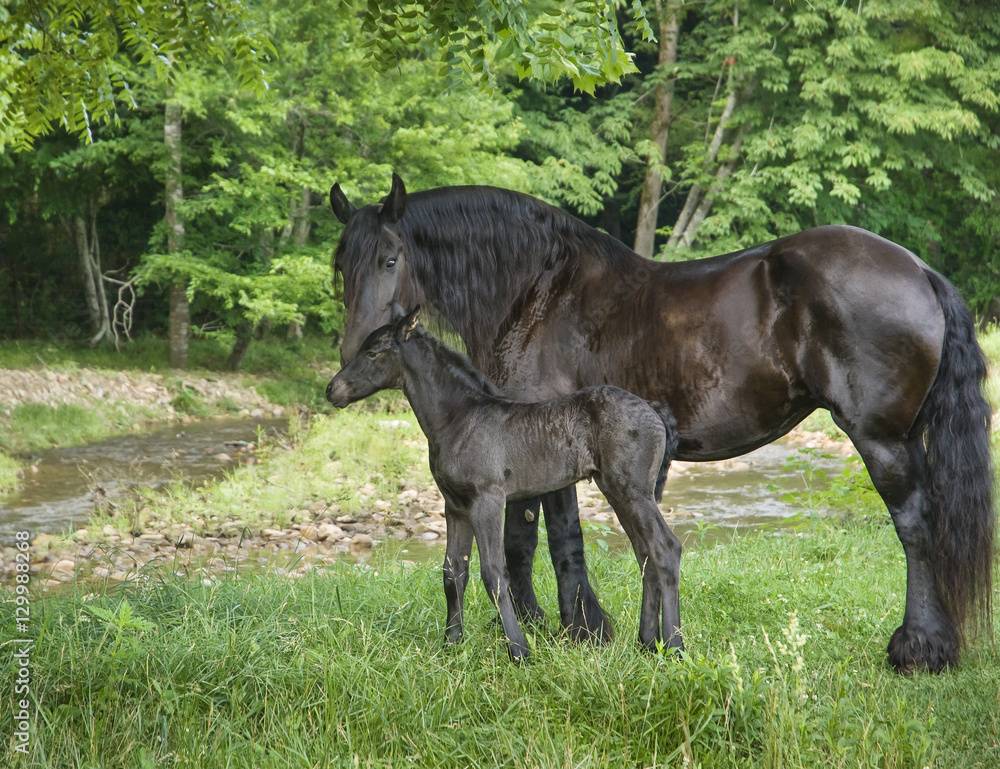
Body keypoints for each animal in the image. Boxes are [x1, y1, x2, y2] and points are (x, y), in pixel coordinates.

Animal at [326, 305, 683, 661]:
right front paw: (451, 643)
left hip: (632, 492)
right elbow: (453, 573)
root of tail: (655, 412)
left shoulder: (488, 500)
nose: (332, 390)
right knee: (645, 555)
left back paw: (674, 645)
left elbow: (494, 574)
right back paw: (647, 642)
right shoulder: (455, 506)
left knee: (665, 548)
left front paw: (519, 650)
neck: (459, 419)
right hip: (617, 491)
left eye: (372, 352)